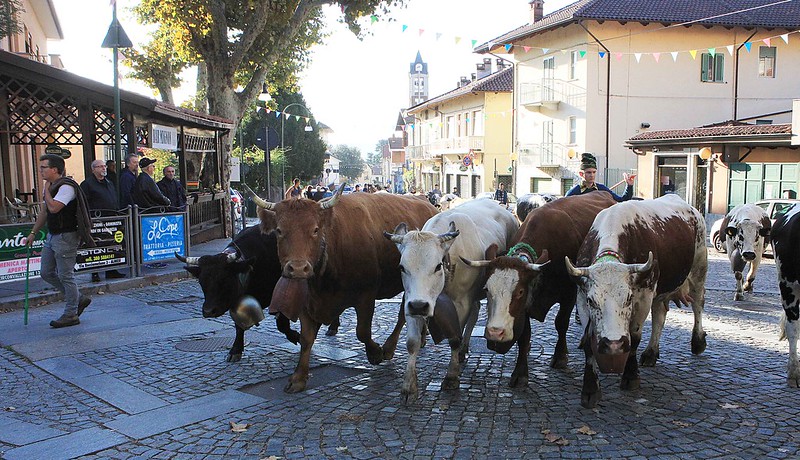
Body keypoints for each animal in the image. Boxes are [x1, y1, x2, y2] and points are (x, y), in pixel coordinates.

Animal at [250, 185, 438, 394]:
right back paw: (421, 337)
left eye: (315, 229)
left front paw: (375, 353)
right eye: (279, 231)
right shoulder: (308, 303)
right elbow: (306, 339)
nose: (298, 268)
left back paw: (389, 348)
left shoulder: (366, 296)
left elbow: (362, 331)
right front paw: (298, 378)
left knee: (403, 315)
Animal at [386, 199, 520, 400]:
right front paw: (409, 386)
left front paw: (451, 376)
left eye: (437, 266)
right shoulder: (412, 300)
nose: (419, 306)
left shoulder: (461, 302)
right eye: (402, 267)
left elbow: (455, 337)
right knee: (475, 311)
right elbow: (412, 342)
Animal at [460, 192, 616, 386]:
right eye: (487, 289)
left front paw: (560, 357)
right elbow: (524, 336)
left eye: (519, 291)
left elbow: (561, 323)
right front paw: (520, 373)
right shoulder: (526, 305)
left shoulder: (568, 294)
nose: (495, 334)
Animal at [564, 192, 708, 408]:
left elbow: (635, 336)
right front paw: (590, 390)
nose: (614, 345)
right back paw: (651, 353)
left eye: (628, 298)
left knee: (698, 303)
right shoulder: (581, 297)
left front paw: (630, 377)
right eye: (591, 301)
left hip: (699, 268)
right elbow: (589, 343)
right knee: (660, 315)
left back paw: (698, 341)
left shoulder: (643, 295)